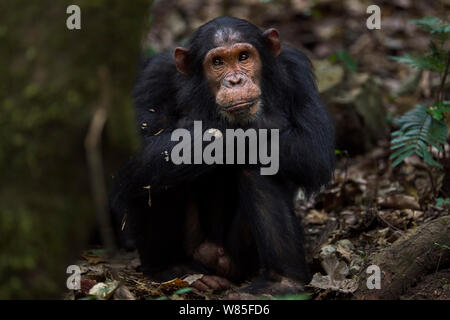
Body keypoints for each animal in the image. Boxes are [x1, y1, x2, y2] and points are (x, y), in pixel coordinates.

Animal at [109, 16, 334, 292]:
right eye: (217, 62)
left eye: (244, 56)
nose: (235, 81)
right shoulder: (154, 76)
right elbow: (136, 151)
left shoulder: (296, 70)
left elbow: (312, 148)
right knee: (154, 171)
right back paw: (169, 269)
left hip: (238, 258)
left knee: (258, 162)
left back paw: (282, 283)